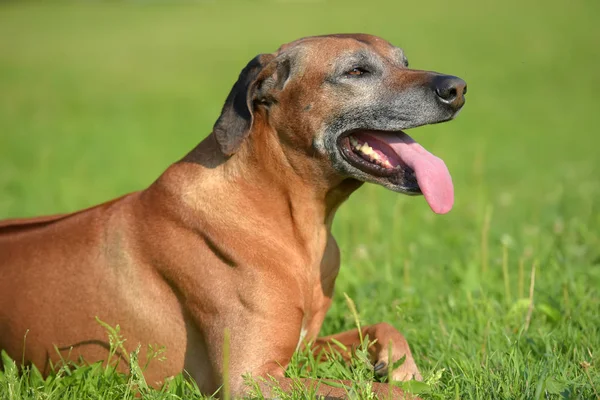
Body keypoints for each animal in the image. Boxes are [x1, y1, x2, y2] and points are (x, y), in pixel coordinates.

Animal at [0, 33, 466, 396]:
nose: (457, 87)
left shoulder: (301, 349)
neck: (291, 221)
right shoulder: (255, 378)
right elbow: (373, 392)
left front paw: (405, 370)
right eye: (356, 71)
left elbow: (385, 329)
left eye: (404, 61)